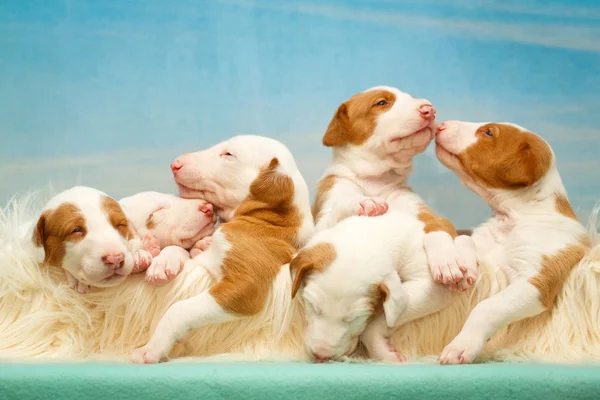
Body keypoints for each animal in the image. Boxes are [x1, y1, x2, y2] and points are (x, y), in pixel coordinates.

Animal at [131, 136, 314, 364]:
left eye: (228, 154)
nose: (175, 164)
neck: (272, 220)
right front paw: (163, 262)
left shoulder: (245, 287)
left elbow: (178, 309)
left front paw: (151, 349)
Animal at [312, 86, 476, 290]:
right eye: (381, 103)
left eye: (411, 97)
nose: (430, 109)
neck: (376, 179)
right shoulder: (319, 228)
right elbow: (338, 209)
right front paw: (364, 202)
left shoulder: (428, 215)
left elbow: (437, 228)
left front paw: (447, 260)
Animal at [432, 120, 592, 364]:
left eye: (489, 132)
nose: (440, 124)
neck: (514, 217)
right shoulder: (485, 248)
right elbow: (465, 239)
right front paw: (458, 266)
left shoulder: (535, 281)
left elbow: (488, 307)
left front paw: (461, 345)